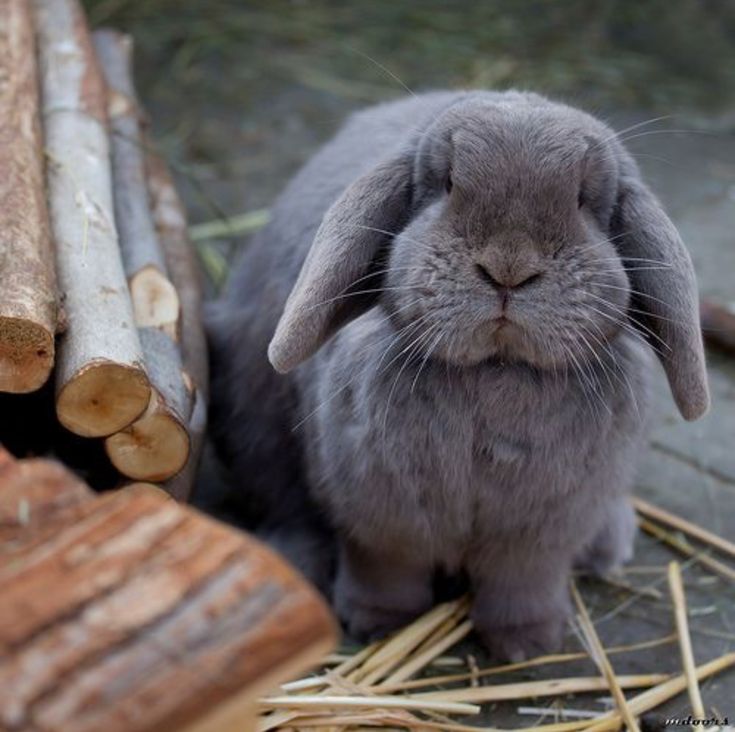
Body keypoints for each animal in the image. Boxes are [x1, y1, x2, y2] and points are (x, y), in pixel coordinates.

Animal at [206, 90, 709, 660]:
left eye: (583, 198)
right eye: (447, 182)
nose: (508, 268)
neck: (495, 369)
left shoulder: (539, 537)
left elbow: (524, 583)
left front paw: (526, 644)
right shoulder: (379, 518)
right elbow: (384, 568)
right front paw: (377, 623)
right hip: (256, 420)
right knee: (283, 502)